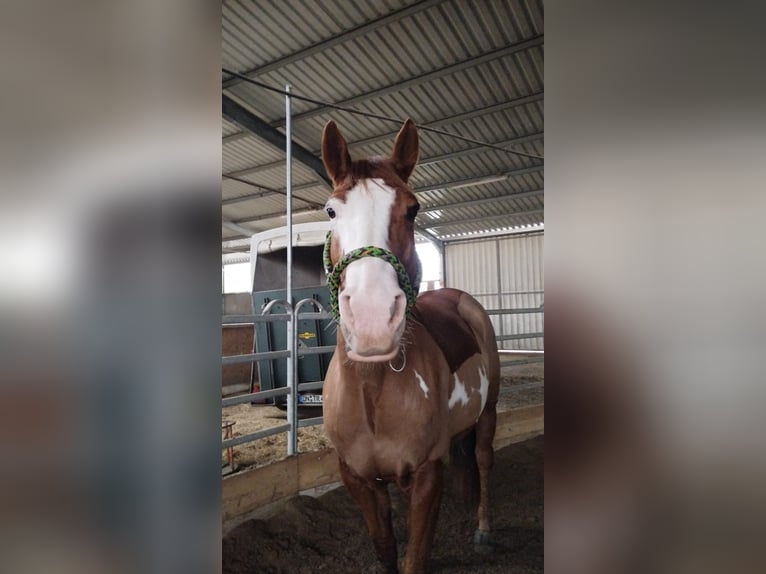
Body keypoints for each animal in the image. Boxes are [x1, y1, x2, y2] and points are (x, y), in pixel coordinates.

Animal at [320, 118, 500, 574]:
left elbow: (414, 557)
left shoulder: (425, 474)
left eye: (413, 209)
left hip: (489, 413)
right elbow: (385, 547)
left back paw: (484, 529)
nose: (372, 319)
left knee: (483, 459)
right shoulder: (358, 480)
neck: (373, 392)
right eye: (331, 211)